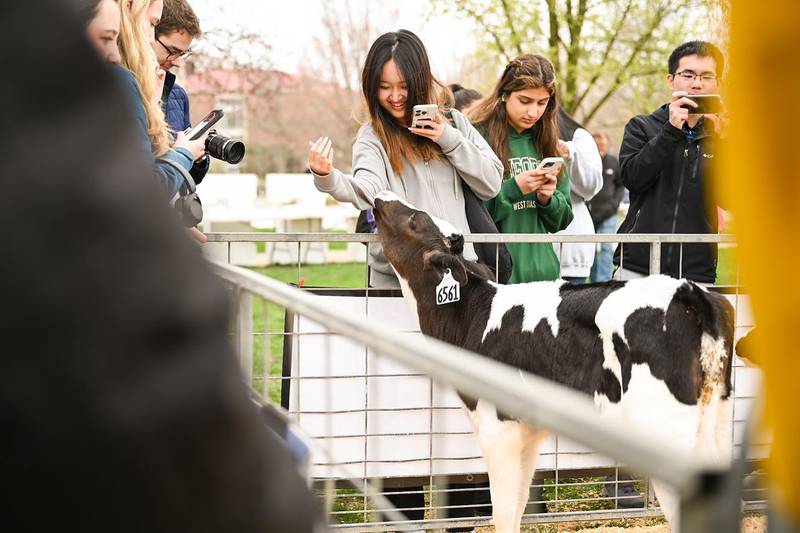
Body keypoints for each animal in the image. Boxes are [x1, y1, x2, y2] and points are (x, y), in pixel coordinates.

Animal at [372, 191, 736, 532]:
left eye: (415, 221)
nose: (380, 197)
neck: (473, 314)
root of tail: (688, 291)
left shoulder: (497, 427)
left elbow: (502, 514)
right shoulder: (528, 431)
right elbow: (518, 507)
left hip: (667, 432)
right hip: (715, 420)